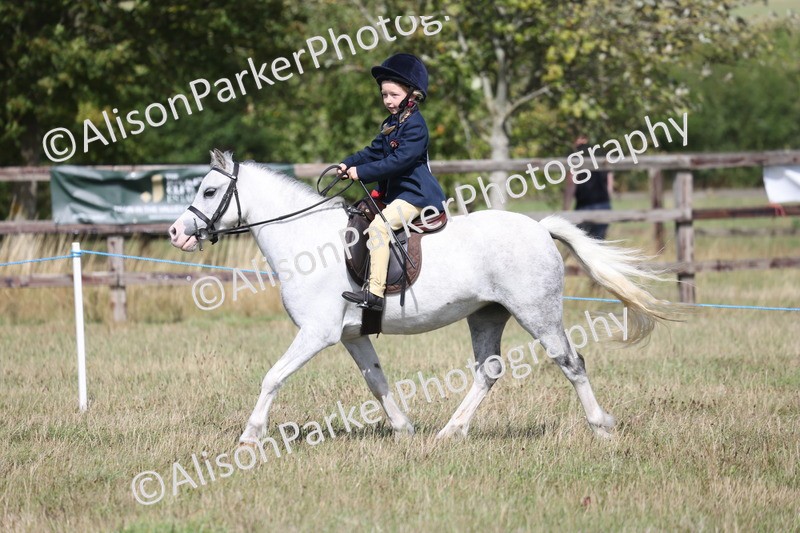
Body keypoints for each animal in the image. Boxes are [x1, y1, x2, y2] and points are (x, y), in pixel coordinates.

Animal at [169, 150, 673, 445]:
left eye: (209, 190)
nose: (176, 233)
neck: (305, 241)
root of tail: (539, 227)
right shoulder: (352, 335)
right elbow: (377, 381)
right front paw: (405, 431)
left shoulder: (317, 333)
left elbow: (272, 377)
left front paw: (250, 437)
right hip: (487, 315)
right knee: (488, 371)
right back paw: (449, 432)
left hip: (538, 313)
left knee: (571, 363)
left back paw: (601, 427)